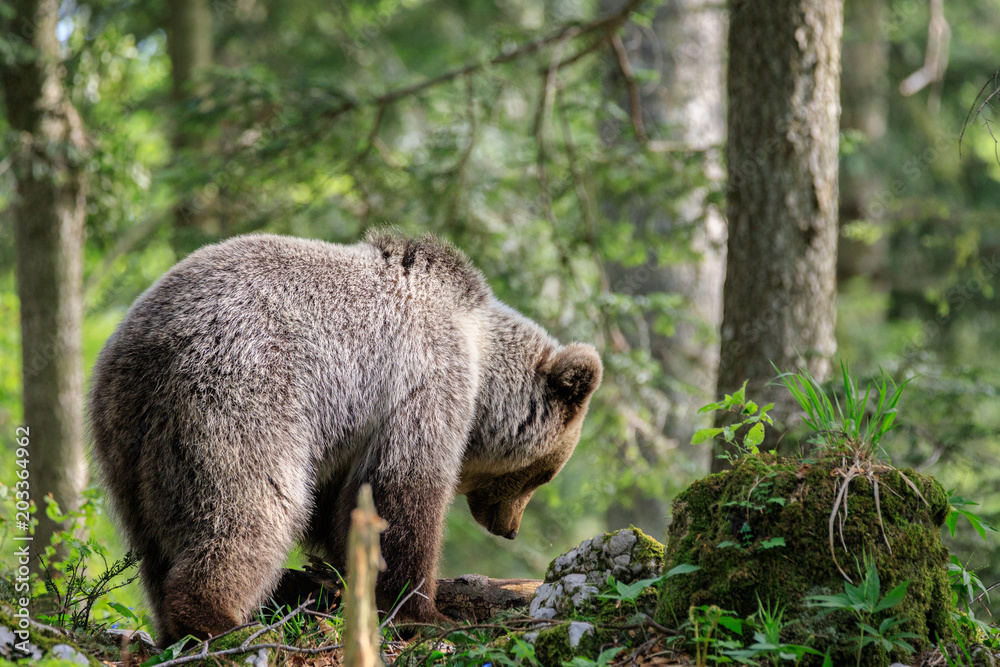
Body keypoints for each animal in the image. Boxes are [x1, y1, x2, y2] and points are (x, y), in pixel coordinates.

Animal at [88, 230, 602, 647]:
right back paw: (222, 622)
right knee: (253, 508)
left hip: (128, 437)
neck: (479, 356)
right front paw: (427, 613)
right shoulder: (421, 386)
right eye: (543, 474)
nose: (509, 528)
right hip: (241, 396)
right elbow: (403, 497)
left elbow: (347, 510)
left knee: (153, 541)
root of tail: (147, 348)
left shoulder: (351, 433)